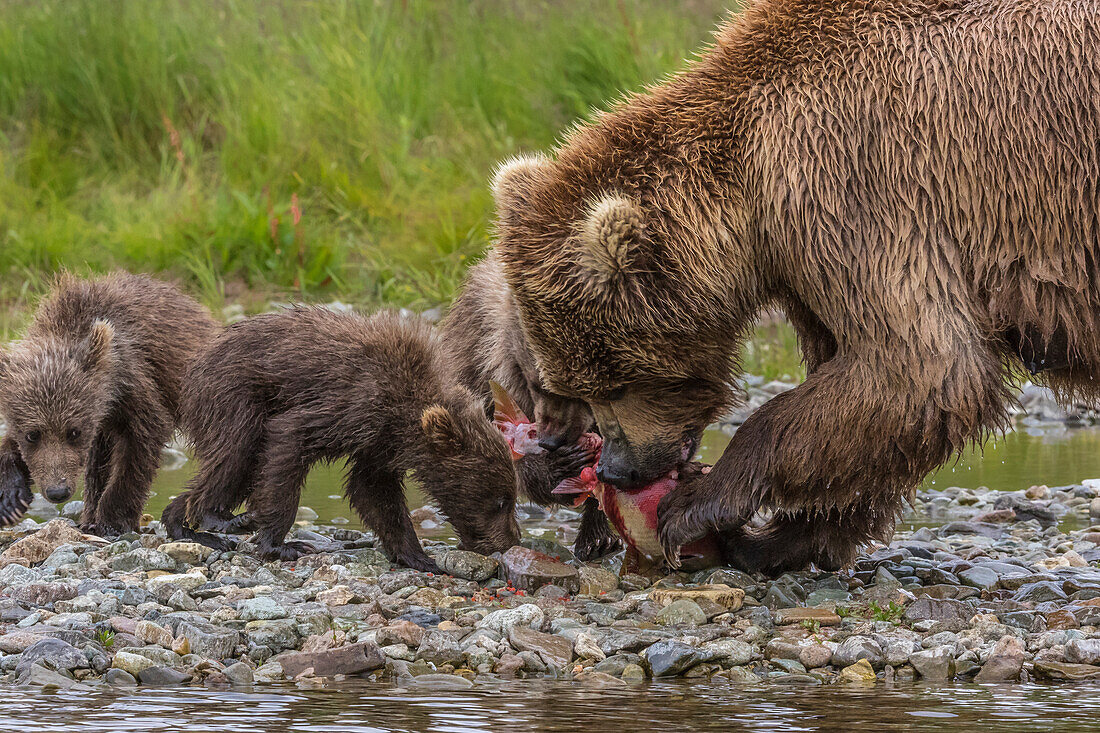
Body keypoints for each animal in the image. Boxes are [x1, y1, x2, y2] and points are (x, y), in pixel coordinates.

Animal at [495, 0, 1100, 572]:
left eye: (619, 382)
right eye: (577, 386)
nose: (617, 470)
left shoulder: (855, 186)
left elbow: (920, 366)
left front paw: (697, 506)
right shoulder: (807, 255)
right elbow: (862, 394)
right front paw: (783, 539)